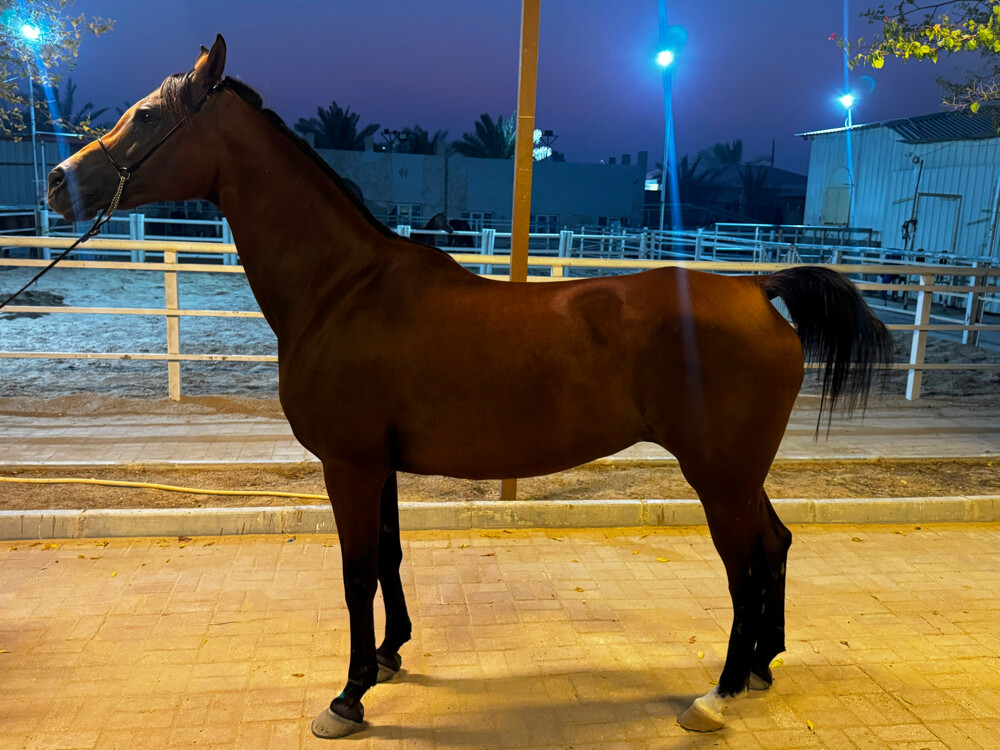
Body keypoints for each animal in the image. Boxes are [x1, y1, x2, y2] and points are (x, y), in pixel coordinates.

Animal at [46, 36, 894, 739]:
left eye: (146, 114)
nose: (58, 182)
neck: (342, 288)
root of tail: (756, 287)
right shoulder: (379, 466)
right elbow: (388, 559)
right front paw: (390, 656)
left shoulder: (348, 465)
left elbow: (355, 574)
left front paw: (347, 697)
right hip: (740, 473)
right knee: (776, 544)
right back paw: (760, 670)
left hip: (717, 476)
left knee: (745, 566)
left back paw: (716, 695)